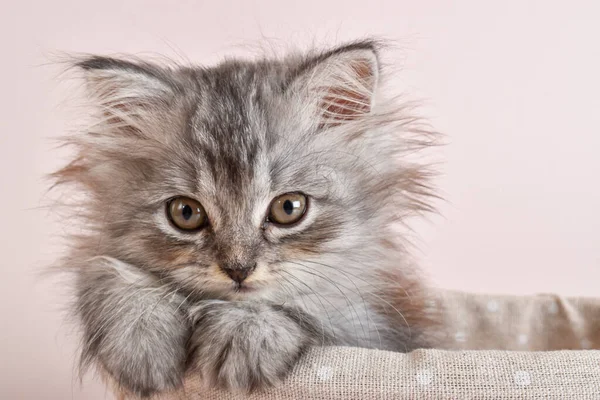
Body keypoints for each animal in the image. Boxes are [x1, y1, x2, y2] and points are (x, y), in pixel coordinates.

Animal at [54, 39, 440, 396]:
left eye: (289, 208)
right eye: (185, 213)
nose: (238, 269)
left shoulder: (368, 325)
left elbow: (305, 304)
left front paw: (243, 332)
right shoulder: (100, 255)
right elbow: (103, 270)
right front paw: (140, 337)